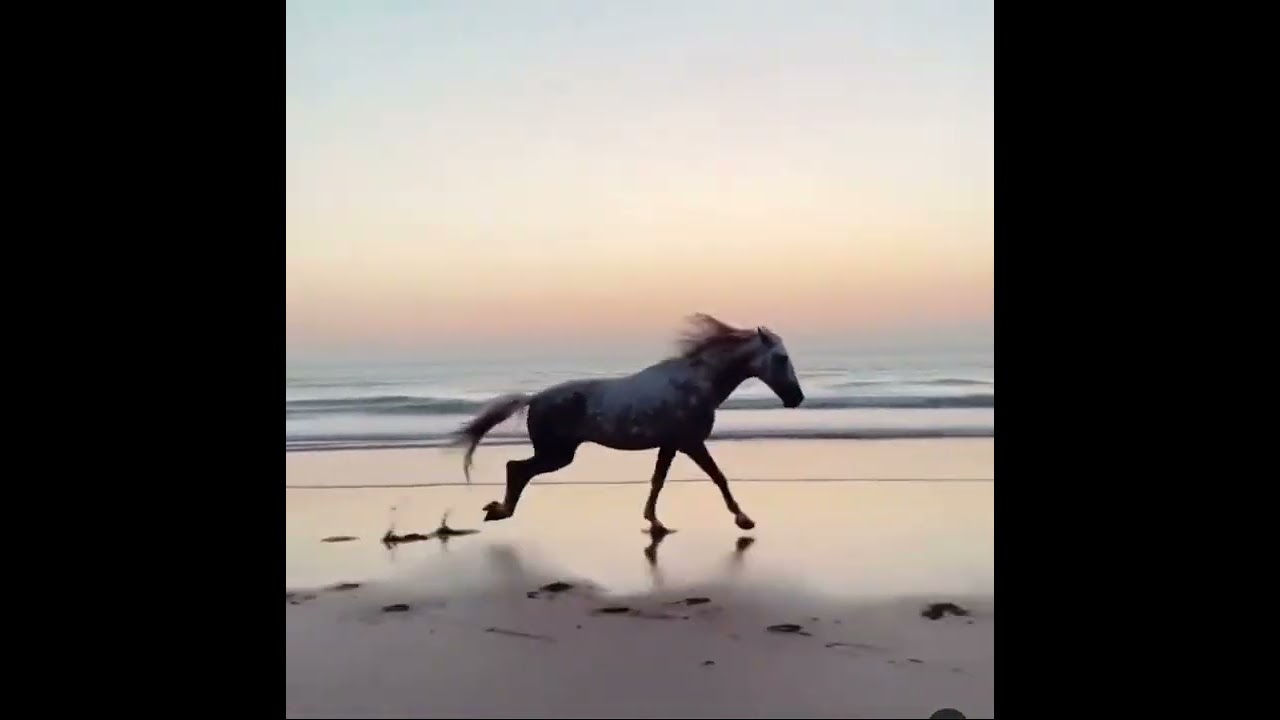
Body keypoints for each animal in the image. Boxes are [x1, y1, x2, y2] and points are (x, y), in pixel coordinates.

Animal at [448, 313, 805, 534]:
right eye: (781, 358)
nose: (797, 397)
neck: (695, 382)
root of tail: (533, 398)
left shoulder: (671, 445)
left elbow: (658, 481)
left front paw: (655, 523)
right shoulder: (690, 443)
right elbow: (718, 477)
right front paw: (744, 520)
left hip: (557, 455)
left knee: (518, 469)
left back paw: (496, 510)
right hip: (557, 455)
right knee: (516, 468)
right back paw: (498, 511)